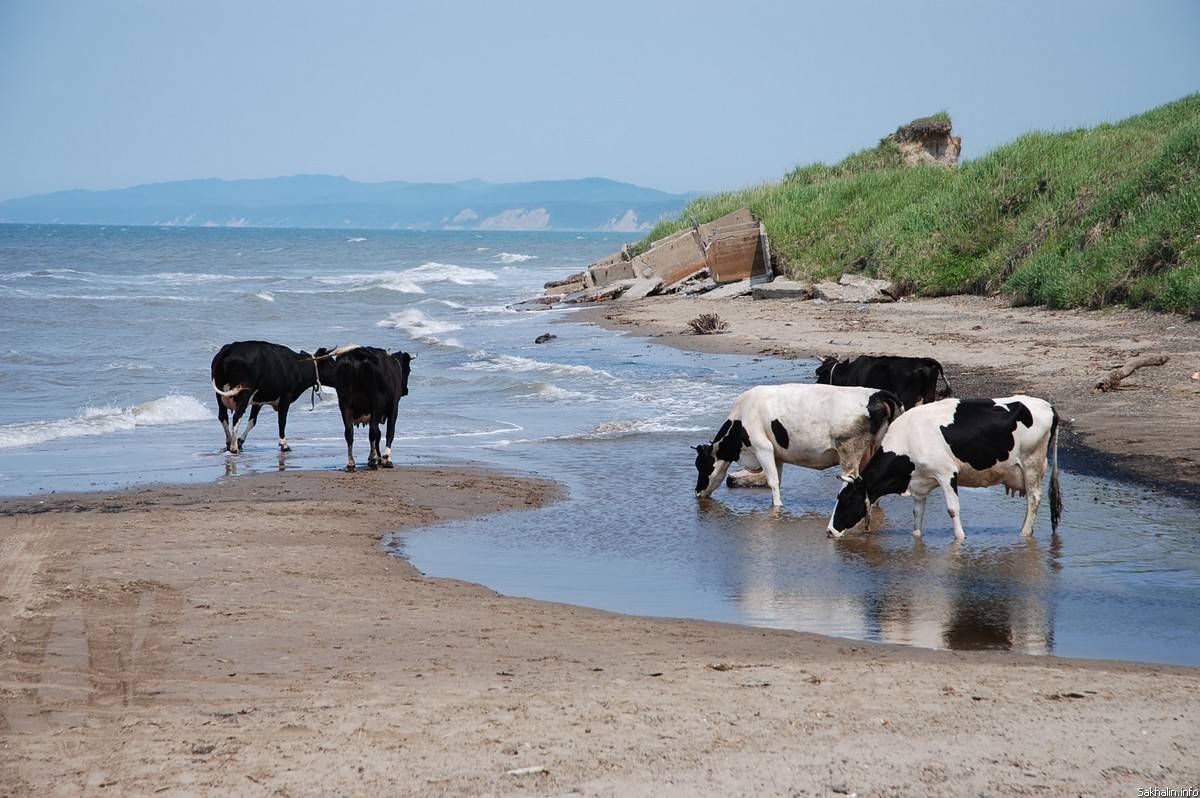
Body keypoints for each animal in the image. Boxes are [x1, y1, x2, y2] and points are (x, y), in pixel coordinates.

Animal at [696, 384, 902, 506]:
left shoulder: (763, 448)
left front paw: (777, 507)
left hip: (849, 450)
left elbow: (772, 482)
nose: (697, 491)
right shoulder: (776, 455)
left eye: (700, 465)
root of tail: (877, 394)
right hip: (873, 447)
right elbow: (777, 481)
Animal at [830, 396, 1065, 537]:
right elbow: (917, 513)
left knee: (1034, 498)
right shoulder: (920, 482)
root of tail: (1048, 405)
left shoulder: (946, 474)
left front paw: (960, 539)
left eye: (846, 500)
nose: (829, 531)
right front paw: (917, 537)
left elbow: (953, 509)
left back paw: (1024, 533)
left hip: (1031, 463)